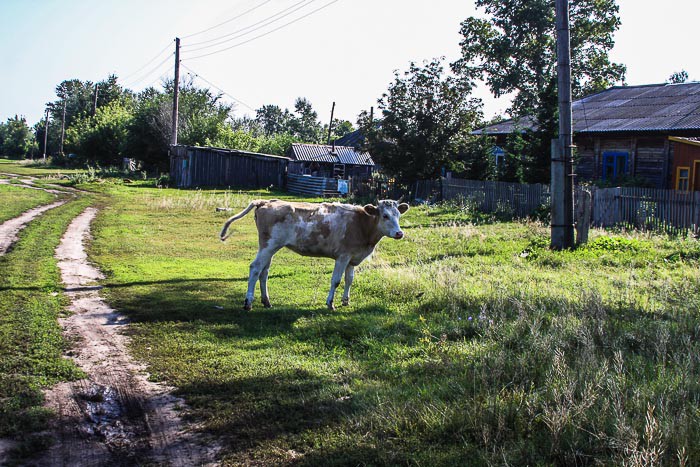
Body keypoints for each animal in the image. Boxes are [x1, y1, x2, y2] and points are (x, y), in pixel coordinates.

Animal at [220, 198, 410, 310]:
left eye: (398, 215)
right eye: (385, 216)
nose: (399, 233)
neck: (362, 225)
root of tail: (266, 201)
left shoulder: (352, 257)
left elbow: (349, 280)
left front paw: (346, 301)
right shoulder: (342, 256)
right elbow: (336, 280)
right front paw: (330, 304)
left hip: (270, 247)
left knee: (264, 271)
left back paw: (266, 301)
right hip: (269, 245)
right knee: (255, 268)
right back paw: (248, 303)